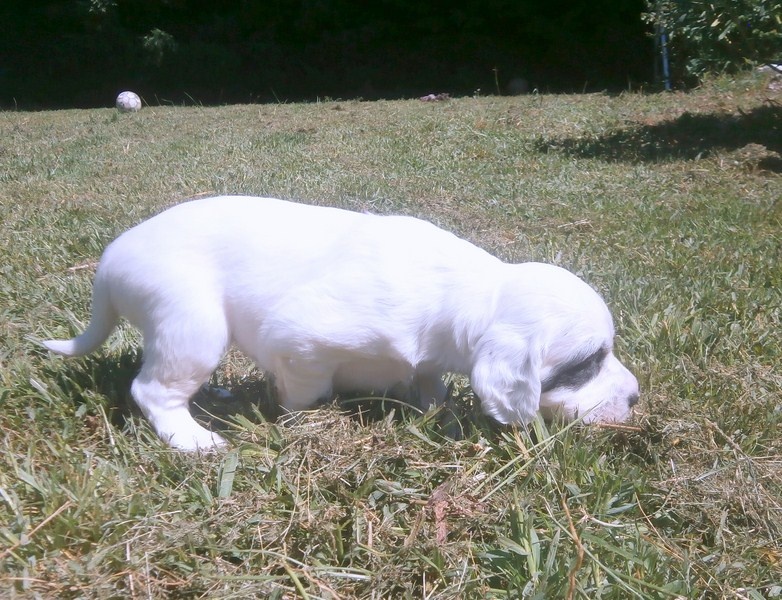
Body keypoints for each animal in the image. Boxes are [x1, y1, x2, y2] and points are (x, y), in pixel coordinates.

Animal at [43, 196, 639, 450]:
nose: (635, 398)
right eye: (586, 364)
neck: (473, 290)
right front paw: (303, 418)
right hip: (192, 324)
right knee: (153, 389)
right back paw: (193, 439)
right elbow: (306, 391)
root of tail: (109, 262)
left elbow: (430, 382)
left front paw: (436, 411)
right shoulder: (300, 339)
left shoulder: (427, 358)